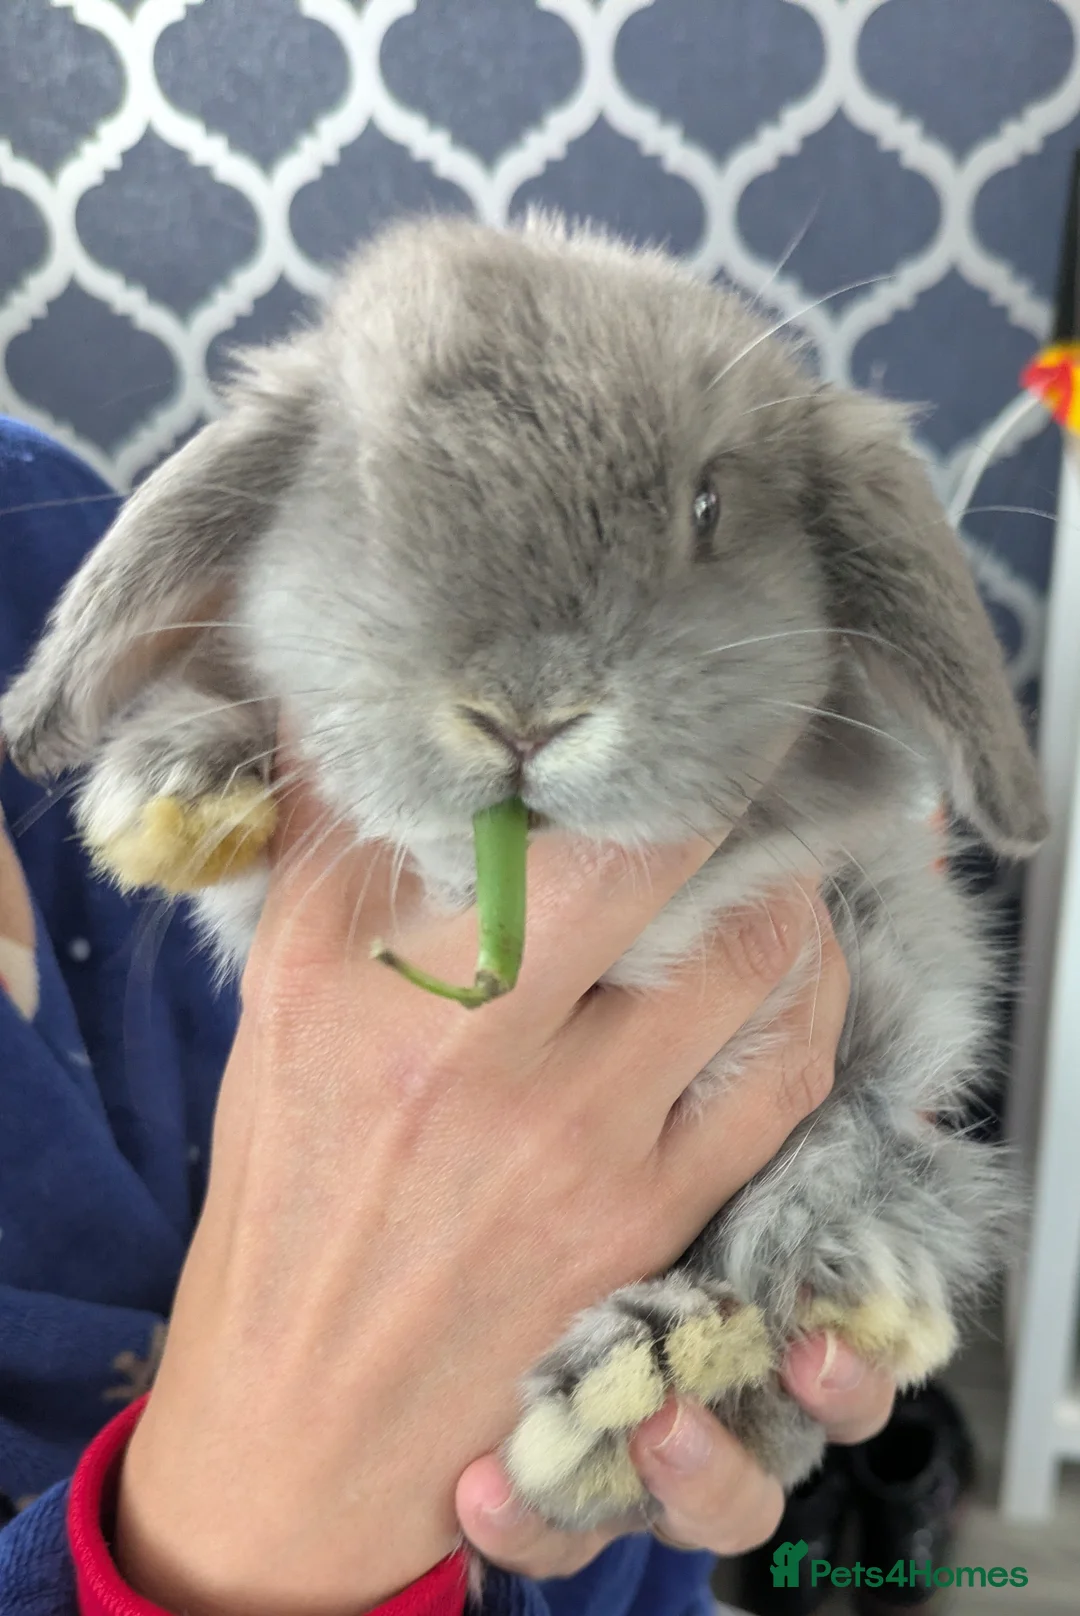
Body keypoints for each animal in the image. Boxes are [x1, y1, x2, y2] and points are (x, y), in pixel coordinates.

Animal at [0, 212, 1047, 1532]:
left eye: (708, 504)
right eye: (365, 496)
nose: (524, 711)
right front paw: (174, 794)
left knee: (854, 1225)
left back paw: (655, 1375)